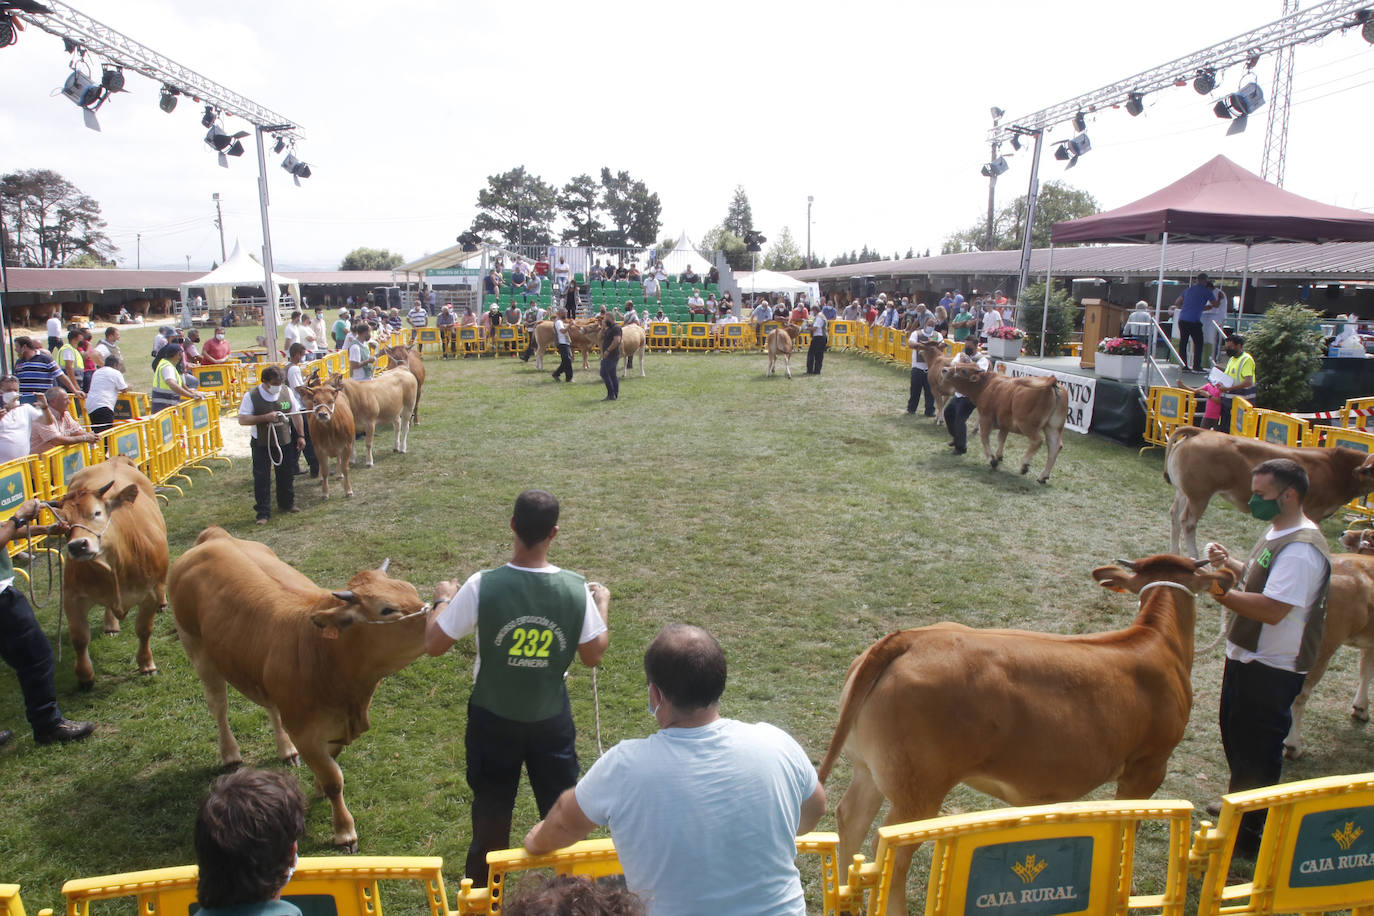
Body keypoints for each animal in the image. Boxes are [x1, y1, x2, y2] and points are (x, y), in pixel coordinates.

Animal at [47, 458, 169, 686]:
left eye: (97, 512)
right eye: (65, 523)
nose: (77, 546)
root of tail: (115, 460)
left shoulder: (152, 592)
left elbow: (144, 630)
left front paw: (146, 664)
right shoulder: (72, 595)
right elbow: (79, 637)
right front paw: (85, 675)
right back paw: (111, 625)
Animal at [171, 527, 428, 856]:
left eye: (411, 590)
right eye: (387, 609)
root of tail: (214, 536)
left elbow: (330, 764)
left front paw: (317, 785)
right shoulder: (306, 732)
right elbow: (334, 779)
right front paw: (344, 830)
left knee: (270, 708)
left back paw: (286, 750)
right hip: (196, 647)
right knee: (218, 705)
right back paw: (230, 754)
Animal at [1165, 431, 1374, 560]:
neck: (1338, 469)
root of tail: (1200, 432)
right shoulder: (1313, 511)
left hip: (1183, 492)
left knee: (1174, 515)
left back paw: (1174, 554)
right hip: (1199, 494)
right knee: (1188, 522)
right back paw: (1194, 558)